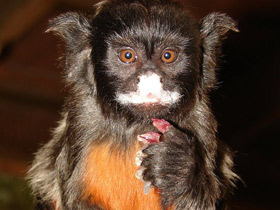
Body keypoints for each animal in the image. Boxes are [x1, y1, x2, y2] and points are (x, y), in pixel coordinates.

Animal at [27, 0, 240, 209]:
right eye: (128, 56)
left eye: (168, 56)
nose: (150, 80)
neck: (136, 126)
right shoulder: (82, 120)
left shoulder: (201, 122)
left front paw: (177, 167)